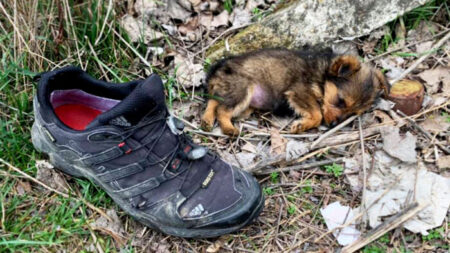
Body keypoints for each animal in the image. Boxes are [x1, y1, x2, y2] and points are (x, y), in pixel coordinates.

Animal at [200, 48, 386, 135]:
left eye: (353, 113)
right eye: (340, 101)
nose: (333, 125)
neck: (322, 76)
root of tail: (217, 70)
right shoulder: (299, 92)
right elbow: (318, 114)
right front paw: (301, 125)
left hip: (235, 95)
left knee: (214, 101)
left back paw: (207, 120)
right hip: (242, 90)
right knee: (222, 110)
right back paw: (228, 128)